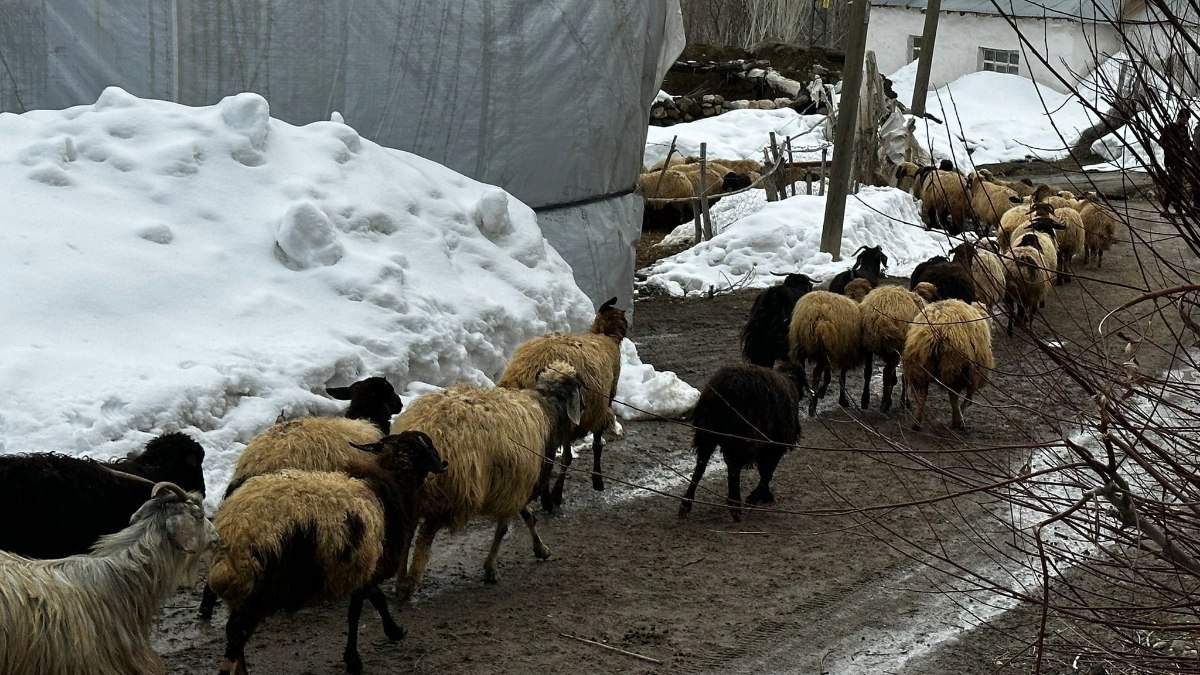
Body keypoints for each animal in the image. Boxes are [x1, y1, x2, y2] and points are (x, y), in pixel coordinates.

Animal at [391, 360, 583, 595]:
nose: (583, 408)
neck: (546, 406)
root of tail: (427, 429)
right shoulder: (516, 483)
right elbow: (503, 530)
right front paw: (491, 570)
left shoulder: (516, 482)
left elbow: (528, 516)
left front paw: (540, 549)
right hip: (451, 490)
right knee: (424, 535)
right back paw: (411, 581)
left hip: (414, 493)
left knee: (407, 532)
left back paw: (401, 579)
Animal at [496, 296, 628, 506]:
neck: (605, 337)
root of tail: (523, 372)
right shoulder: (599, 407)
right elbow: (593, 447)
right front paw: (596, 481)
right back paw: (548, 499)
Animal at [681, 362, 801, 521]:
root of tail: (725, 387)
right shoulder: (774, 445)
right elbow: (767, 473)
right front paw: (755, 498)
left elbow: (764, 471)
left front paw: (764, 496)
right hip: (741, 436)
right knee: (733, 468)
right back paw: (735, 505)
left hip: (707, 432)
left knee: (701, 466)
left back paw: (686, 503)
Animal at [902, 300, 993, 429]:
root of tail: (935, 331)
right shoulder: (975, 374)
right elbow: (968, 397)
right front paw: (961, 414)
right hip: (955, 366)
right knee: (953, 396)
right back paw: (958, 421)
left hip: (919, 367)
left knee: (922, 395)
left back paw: (916, 422)